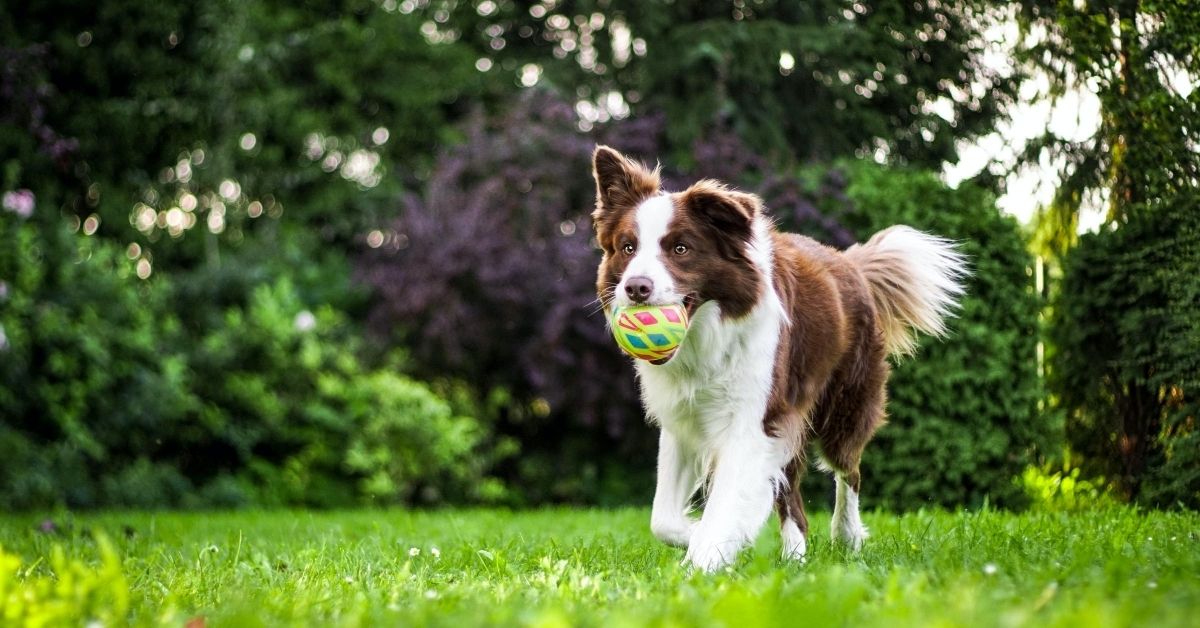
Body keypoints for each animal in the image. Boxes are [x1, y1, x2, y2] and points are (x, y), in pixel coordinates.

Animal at [595, 145, 969, 571]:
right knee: (792, 496)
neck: (706, 337)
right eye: (628, 247)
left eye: (681, 248)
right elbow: (663, 519)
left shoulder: (753, 420)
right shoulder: (684, 420)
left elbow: (725, 503)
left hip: (844, 406)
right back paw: (794, 558)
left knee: (849, 470)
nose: (636, 288)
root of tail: (850, 263)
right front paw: (704, 538)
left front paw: (705, 558)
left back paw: (847, 535)